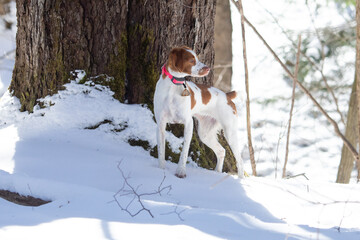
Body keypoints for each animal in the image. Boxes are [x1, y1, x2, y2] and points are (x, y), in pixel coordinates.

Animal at [155, 46, 245, 178]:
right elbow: (161, 151)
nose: (208, 68)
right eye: (191, 60)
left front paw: (180, 172)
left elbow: (184, 152)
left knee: (240, 160)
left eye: (197, 57)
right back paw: (217, 173)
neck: (172, 87)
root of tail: (226, 95)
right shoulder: (161, 124)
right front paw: (161, 170)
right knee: (221, 151)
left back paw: (240, 178)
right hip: (205, 134)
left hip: (230, 132)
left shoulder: (188, 123)